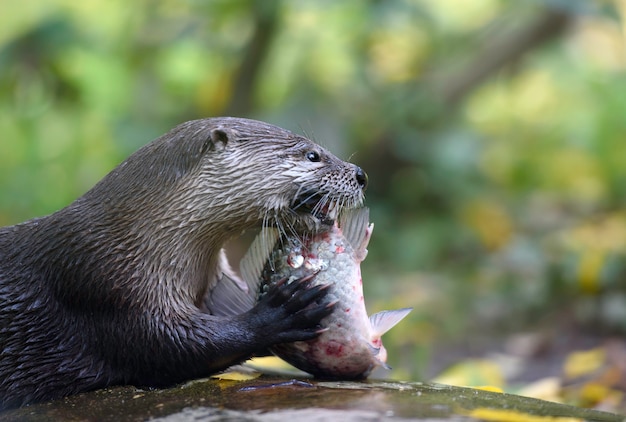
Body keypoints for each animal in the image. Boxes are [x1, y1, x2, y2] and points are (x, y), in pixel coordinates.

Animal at [0, 116, 366, 408]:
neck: (135, 238)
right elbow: (168, 347)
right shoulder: (105, 285)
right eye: (312, 155)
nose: (361, 174)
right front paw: (281, 312)